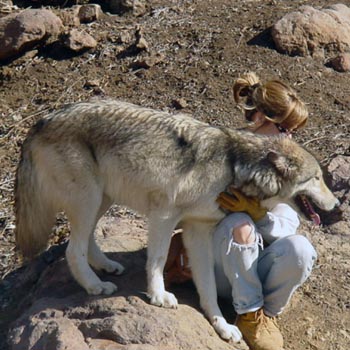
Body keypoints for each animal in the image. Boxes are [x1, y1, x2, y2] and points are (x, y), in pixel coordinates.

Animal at [14, 99, 340, 342]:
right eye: (316, 178)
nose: (337, 205)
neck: (235, 168)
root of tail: (42, 121)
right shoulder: (164, 215)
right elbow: (157, 260)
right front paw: (159, 296)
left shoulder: (198, 231)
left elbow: (207, 287)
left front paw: (221, 325)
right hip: (89, 198)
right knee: (73, 249)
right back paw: (96, 286)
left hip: (102, 198)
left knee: (86, 239)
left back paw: (106, 266)